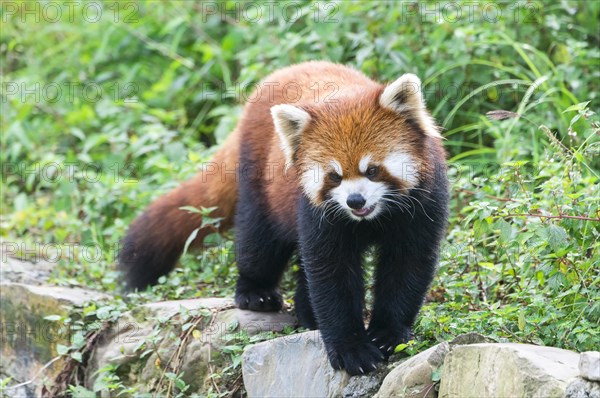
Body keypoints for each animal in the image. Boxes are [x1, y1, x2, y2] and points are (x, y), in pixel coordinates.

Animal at [119, 60, 448, 374]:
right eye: (334, 176)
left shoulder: (423, 204)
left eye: (373, 170)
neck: (371, 218)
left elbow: (407, 265)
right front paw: (351, 349)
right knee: (258, 242)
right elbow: (331, 275)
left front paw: (388, 333)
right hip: (259, 184)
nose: (355, 201)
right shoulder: (317, 212)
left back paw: (306, 310)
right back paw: (256, 292)